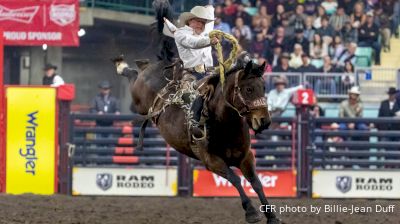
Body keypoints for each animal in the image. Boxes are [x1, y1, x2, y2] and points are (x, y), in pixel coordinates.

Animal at [112, 0, 280, 223]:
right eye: (248, 89)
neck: (225, 125)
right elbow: (235, 179)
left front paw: (272, 215)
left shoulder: (246, 157)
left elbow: (255, 182)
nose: (264, 121)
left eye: (264, 87)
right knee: (132, 74)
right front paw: (251, 212)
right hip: (137, 96)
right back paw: (121, 65)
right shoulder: (211, 161)